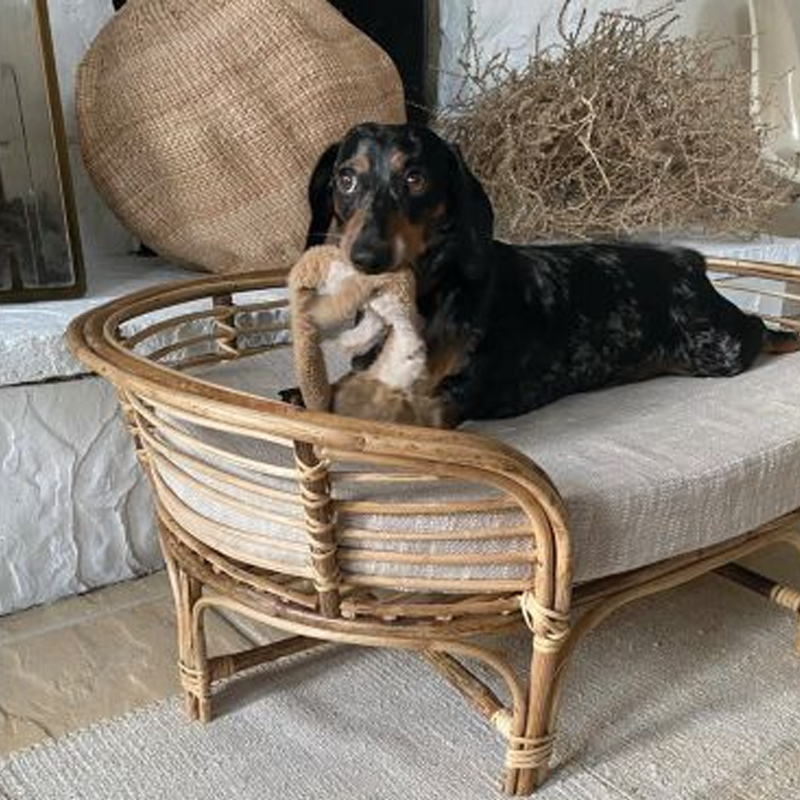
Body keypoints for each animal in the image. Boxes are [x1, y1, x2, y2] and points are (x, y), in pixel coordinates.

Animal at [306, 120, 800, 424]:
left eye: (415, 178)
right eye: (346, 178)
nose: (365, 255)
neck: (429, 294)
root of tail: (690, 261)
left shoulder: (462, 393)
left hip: (718, 350)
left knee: (760, 329)